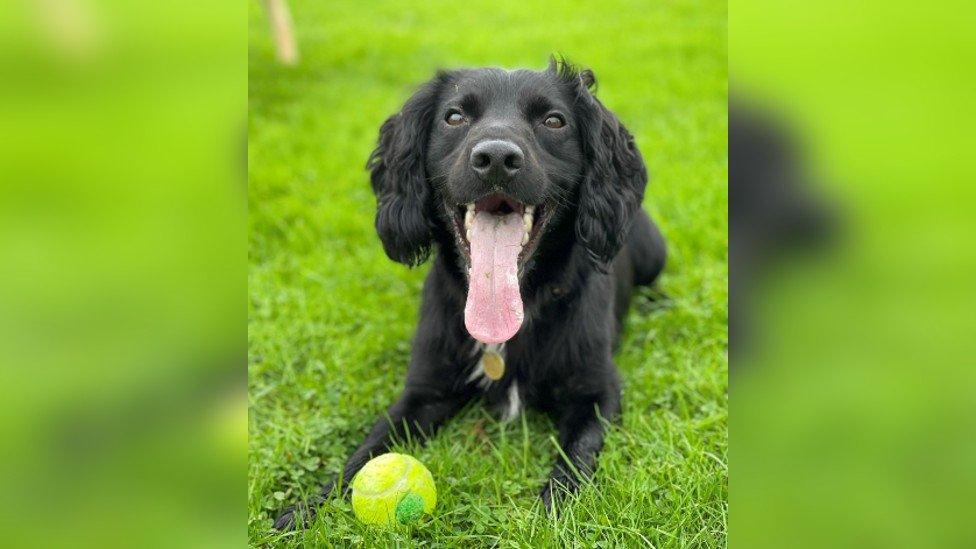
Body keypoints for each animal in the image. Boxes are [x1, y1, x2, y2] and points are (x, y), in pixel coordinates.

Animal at [278, 57, 668, 528]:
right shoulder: (423, 392)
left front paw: (549, 519)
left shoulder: (597, 392)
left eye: (554, 121)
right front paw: (304, 511)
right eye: (454, 117)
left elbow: (576, 459)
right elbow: (363, 453)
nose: (497, 158)